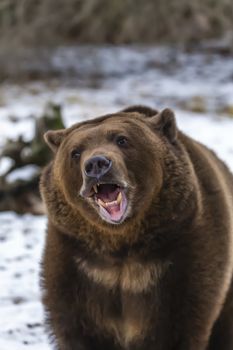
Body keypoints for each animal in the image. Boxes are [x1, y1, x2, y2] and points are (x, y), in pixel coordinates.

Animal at [40, 106, 233, 350]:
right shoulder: (77, 262)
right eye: (75, 152)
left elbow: (179, 324)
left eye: (122, 139)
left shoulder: (185, 252)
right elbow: (77, 327)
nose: (96, 164)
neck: (123, 242)